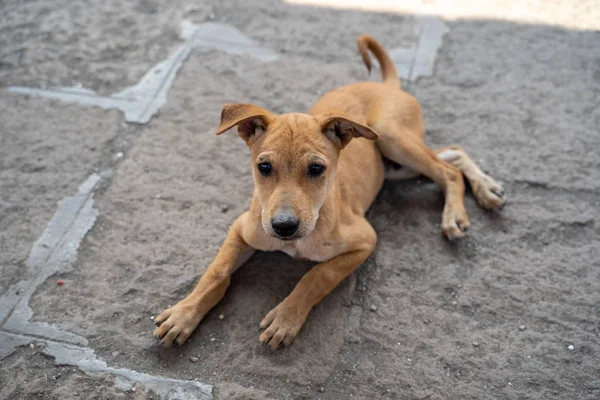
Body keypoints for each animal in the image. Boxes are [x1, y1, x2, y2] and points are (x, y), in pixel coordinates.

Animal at [152, 35, 504, 350]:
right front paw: (184, 314)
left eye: (317, 169)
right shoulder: (241, 227)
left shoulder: (365, 240)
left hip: (390, 137)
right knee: (453, 154)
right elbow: (217, 271)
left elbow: (317, 275)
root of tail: (388, 86)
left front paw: (286, 318)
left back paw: (456, 215)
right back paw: (487, 189)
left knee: (447, 171)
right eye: (264, 167)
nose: (283, 226)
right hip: (392, 163)